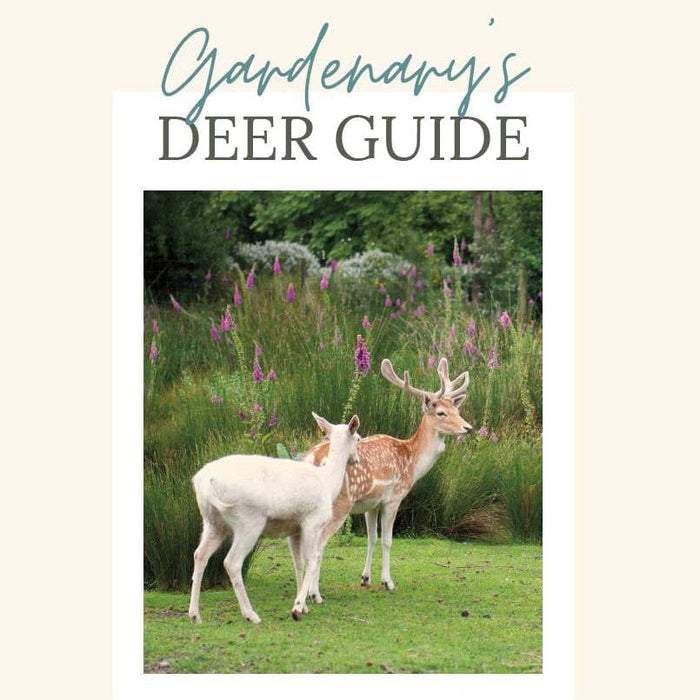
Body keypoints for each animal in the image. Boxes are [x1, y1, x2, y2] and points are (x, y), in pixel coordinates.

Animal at [187, 412, 361, 624]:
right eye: (359, 439)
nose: (357, 460)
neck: (328, 483)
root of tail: (205, 482)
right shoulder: (312, 522)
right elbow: (312, 560)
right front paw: (297, 609)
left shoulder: (294, 530)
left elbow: (298, 564)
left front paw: (303, 607)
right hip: (248, 520)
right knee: (232, 562)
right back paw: (251, 614)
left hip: (213, 522)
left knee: (199, 555)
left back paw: (195, 614)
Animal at [298, 357, 472, 604]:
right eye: (441, 413)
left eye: (456, 409)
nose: (468, 428)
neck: (412, 461)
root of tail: (311, 459)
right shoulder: (393, 498)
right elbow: (387, 540)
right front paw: (388, 582)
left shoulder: (371, 504)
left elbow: (372, 538)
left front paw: (365, 578)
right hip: (340, 504)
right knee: (318, 545)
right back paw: (315, 594)